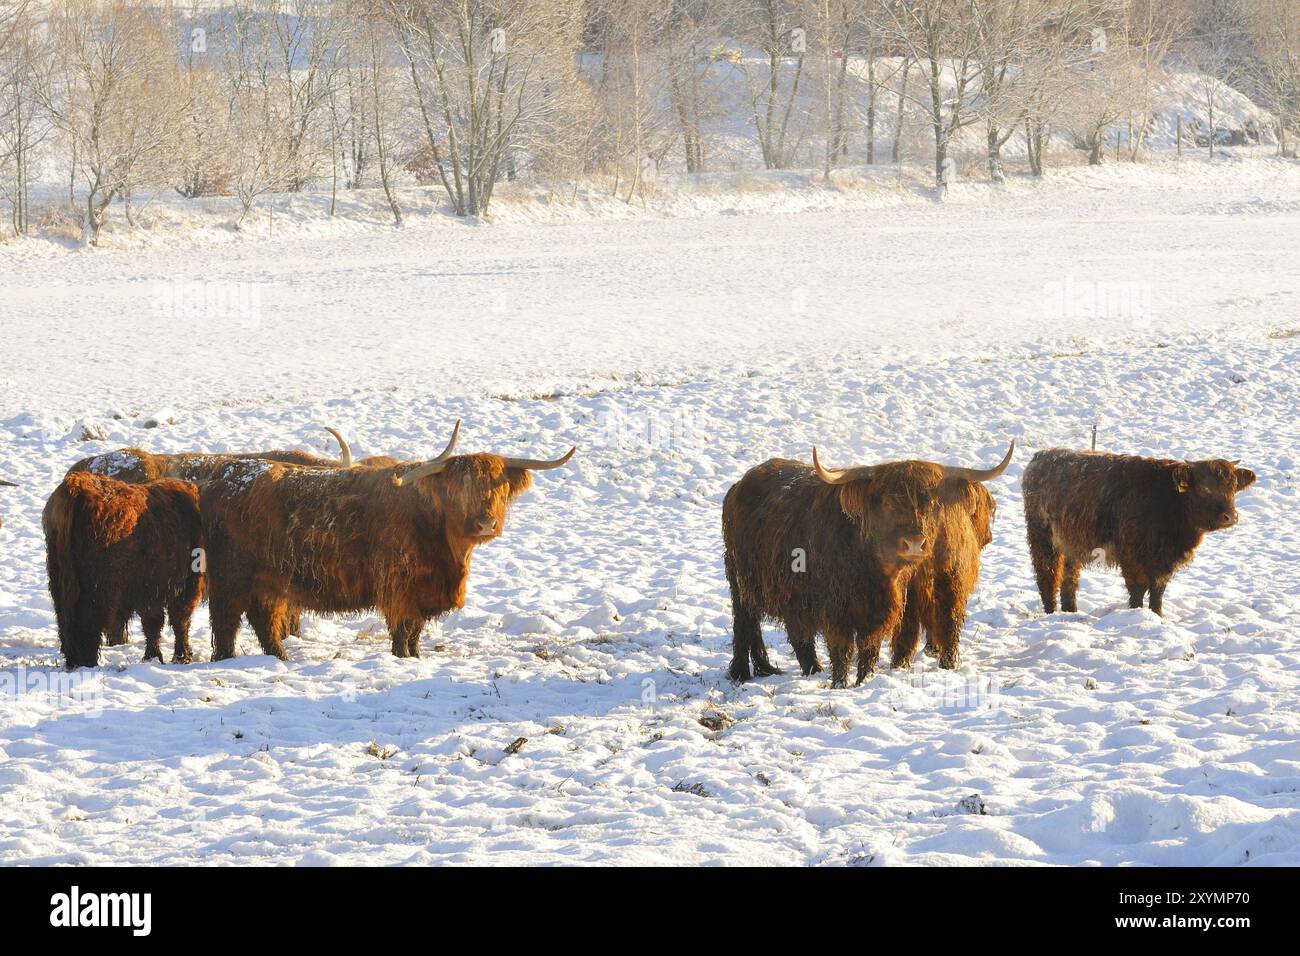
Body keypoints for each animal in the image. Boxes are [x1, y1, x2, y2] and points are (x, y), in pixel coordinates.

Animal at [43, 472, 203, 668]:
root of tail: (76, 485)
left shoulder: (151, 589)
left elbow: (153, 622)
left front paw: (153, 656)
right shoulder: (184, 583)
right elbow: (178, 620)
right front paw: (181, 656)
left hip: (60, 581)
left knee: (66, 621)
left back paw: (73, 661)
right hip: (98, 588)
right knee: (88, 623)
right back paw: (88, 662)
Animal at [199, 422, 576, 661]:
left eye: (499, 486)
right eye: (458, 489)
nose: (485, 523)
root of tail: (223, 477)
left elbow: (415, 631)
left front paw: (416, 655)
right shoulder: (399, 587)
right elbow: (403, 630)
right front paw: (403, 657)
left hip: (268, 583)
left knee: (263, 621)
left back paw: (279, 657)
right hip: (232, 579)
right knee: (227, 622)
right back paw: (228, 658)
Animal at [722, 442, 1015, 688]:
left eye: (931, 503)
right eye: (887, 503)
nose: (914, 544)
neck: (877, 571)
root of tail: (739, 485)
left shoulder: (884, 608)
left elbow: (870, 647)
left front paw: (866, 679)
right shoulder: (835, 609)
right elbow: (841, 648)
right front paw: (840, 683)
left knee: (796, 635)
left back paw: (804, 669)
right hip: (740, 583)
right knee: (745, 624)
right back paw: (741, 672)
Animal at [1021, 449, 1256, 616]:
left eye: (1233, 488)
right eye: (1205, 489)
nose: (1230, 516)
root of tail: (1041, 457)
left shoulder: (1164, 563)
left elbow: (1157, 592)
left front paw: (1157, 615)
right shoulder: (1131, 556)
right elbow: (1137, 590)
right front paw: (1136, 615)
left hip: (1072, 544)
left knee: (1069, 580)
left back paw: (1071, 612)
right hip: (1042, 538)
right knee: (1048, 576)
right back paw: (1050, 614)